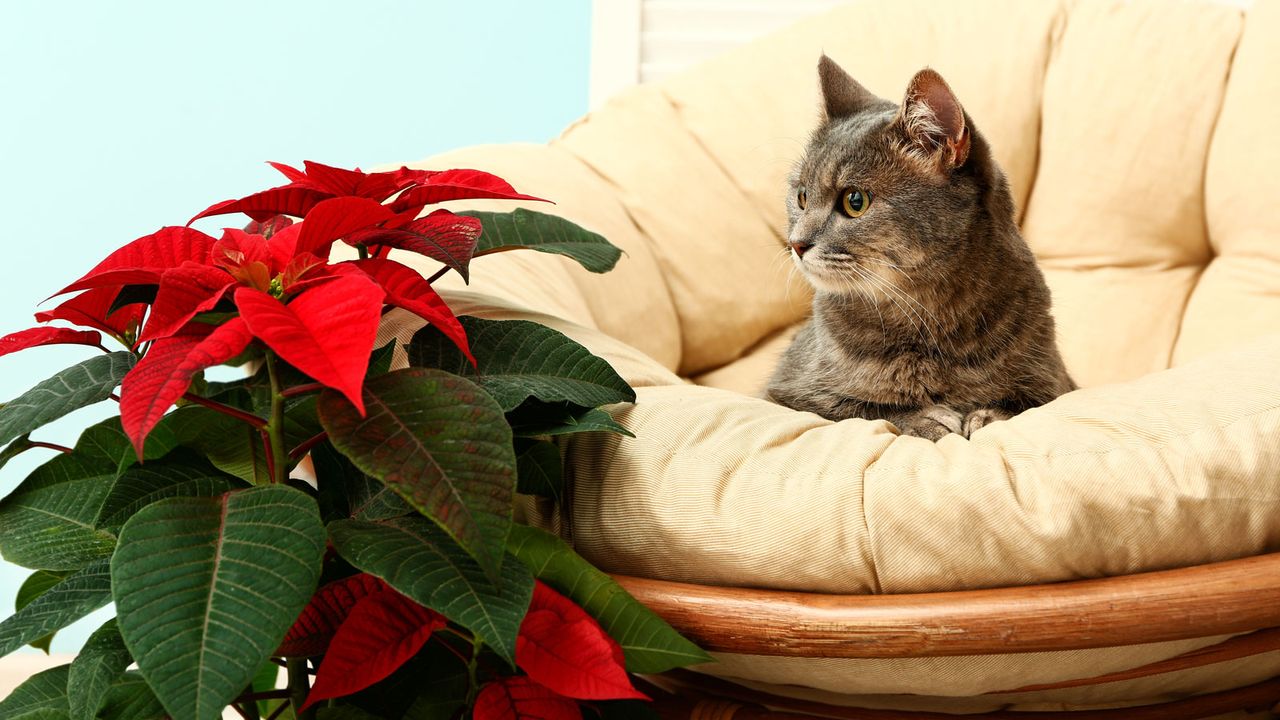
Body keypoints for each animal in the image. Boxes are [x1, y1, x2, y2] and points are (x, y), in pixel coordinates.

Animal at [762, 56, 1075, 438]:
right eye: (802, 197)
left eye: (855, 201)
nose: (795, 243)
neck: (929, 317)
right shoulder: (786, 390)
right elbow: (861, 407)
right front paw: (925, 417)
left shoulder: (1057, 383)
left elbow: (1023, 404)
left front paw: (986, 416)